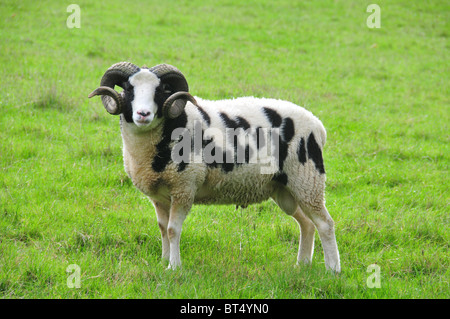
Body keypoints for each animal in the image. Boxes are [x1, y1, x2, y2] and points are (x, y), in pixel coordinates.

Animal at [89, 62, 342, 272]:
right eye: (128, 89)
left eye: (160, 91)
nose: (143, 114)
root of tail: (318, 126)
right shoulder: (159, 196)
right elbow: (162, 228)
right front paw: (163, 261)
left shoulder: (184, 187)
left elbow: (172, 230)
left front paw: (174, 267)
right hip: (285, 189)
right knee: (307, 224)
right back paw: (302, 265)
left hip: (307, 179)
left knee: (325, 224)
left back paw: (333, 270)